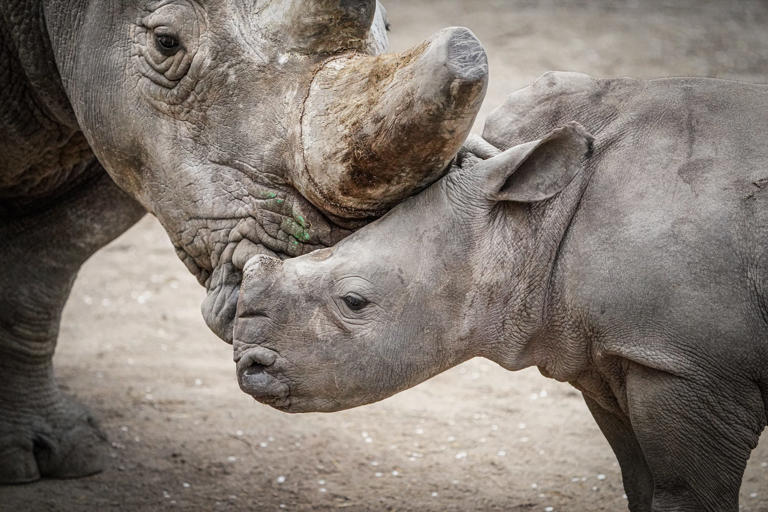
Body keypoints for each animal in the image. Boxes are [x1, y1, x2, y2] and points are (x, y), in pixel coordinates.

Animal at [0, 0, 488, 482]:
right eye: (165, 42)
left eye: (388, 24)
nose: (317, 260)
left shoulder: (118, 142)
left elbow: (45, 271)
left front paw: (57, 449)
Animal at [234, 73, 768, 512]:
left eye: (354, 302)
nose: (249, 366)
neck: (528, 222)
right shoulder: (612, 356)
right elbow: (640, 482)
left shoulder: (687, 367)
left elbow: (685, 493)